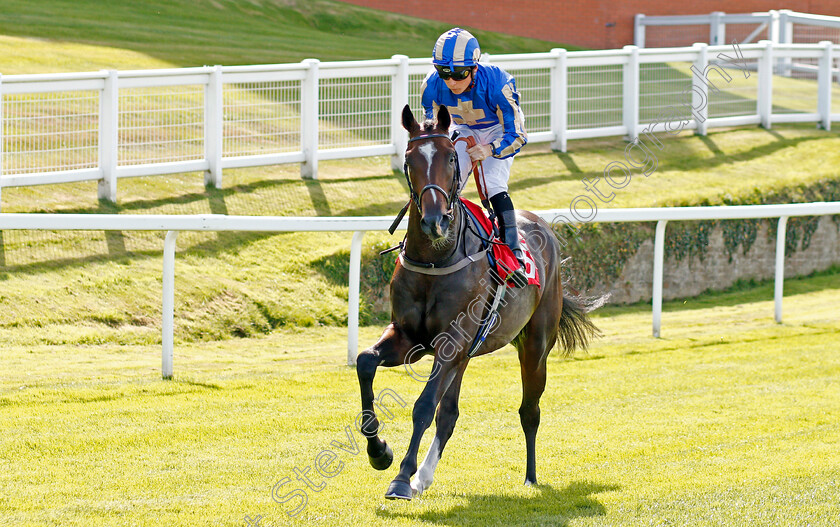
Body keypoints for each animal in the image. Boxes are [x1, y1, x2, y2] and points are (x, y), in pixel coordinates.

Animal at [354, 104, 604, 504]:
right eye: (409, 160)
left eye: (451, 158)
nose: (434, 221)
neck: (436, 259)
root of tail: (544, 229)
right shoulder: (410, 338)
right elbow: (365, 362)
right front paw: (380, 453)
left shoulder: (450, 342)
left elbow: (424, 404)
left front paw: (401, 478)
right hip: (465, 355)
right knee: (450, 414)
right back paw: (424, 477)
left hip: (534, 345)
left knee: (529, 410)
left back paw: (530, 477)